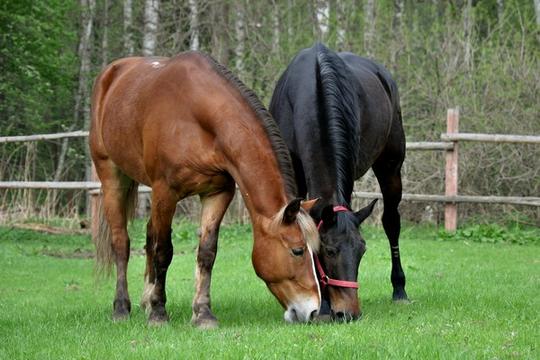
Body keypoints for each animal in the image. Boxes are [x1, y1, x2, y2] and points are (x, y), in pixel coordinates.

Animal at [90, 51, 322, 326]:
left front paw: (202, 314)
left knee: (148, 236)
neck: (199, 117)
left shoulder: (217, 193)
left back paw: (145, 301)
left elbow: (207, 252)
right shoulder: (165, 192)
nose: (314, 311)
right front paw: (159, 312)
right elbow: (163, 251)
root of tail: (111, 73)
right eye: (298, 251)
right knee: (121, 243)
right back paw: (121, 308)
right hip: (112, 177)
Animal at [270, 42, 410, 320]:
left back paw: (399, 289)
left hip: (390, 167)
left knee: (391, 222)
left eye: (362, 250)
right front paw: (322, 305)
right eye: (329, 251)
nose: (349, 313)